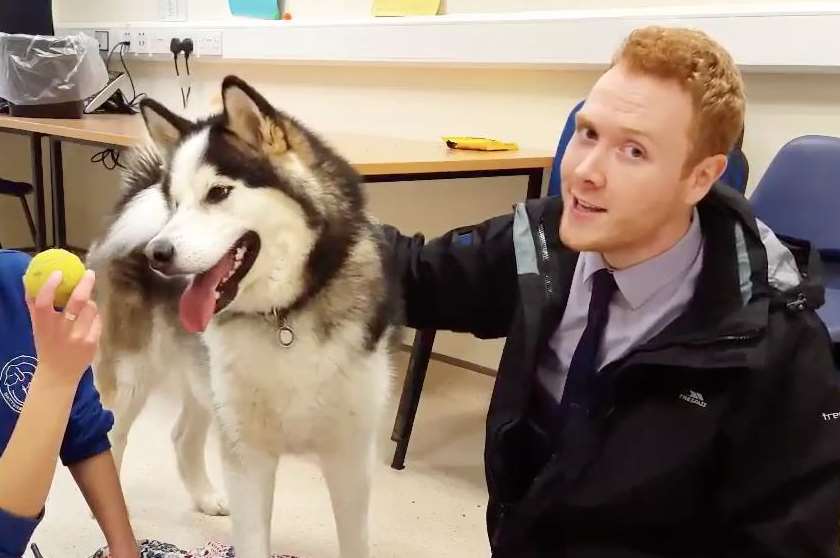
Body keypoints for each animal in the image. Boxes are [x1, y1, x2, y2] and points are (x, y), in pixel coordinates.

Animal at [87, 75, 402, 558]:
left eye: (218, 193)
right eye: (175, 202)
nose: (157, 253)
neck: (284, 317)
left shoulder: (349, 457)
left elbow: (355, 540)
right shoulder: (248, 455)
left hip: (203, 381)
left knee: (182, 436)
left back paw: (205, 497)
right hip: (130, 378)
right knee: (110, 441)